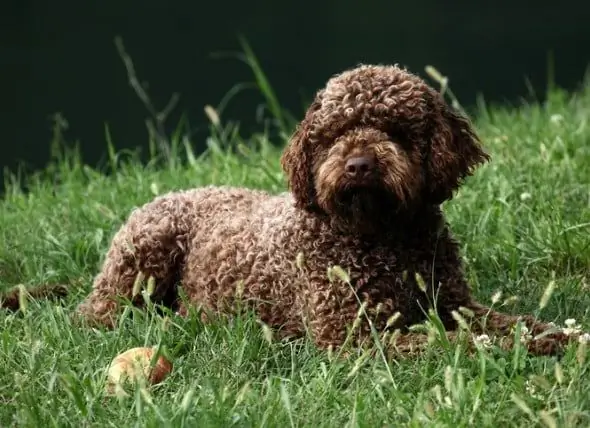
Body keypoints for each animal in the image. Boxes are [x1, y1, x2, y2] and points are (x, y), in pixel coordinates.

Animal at [2, 64, 580, 358]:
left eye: (394, 129)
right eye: (333, 134)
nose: (359, 164)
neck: (383, 239)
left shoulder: (453, 301)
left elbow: (512, 322)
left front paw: (555, 334)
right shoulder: (353, 336)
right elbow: (450, 341)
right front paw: (505, 349)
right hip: (143, 259)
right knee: (95, 316)